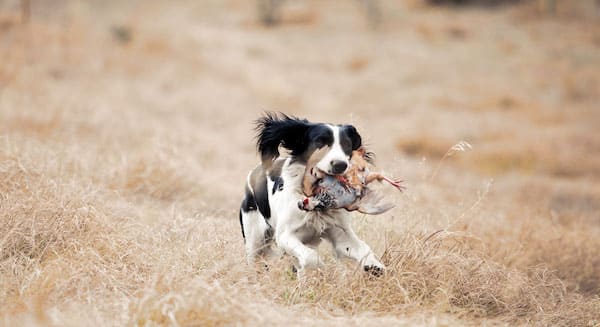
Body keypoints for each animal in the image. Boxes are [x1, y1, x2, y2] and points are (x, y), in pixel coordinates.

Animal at [238, 114, 384, 276]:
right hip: (255, 239)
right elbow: (310, 257)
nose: (340, 165)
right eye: (320, 142)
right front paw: (320, 268)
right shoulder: (285, 235)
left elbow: (362, 248)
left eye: (347, 144)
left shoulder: (340, 233)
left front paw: (374, 266)